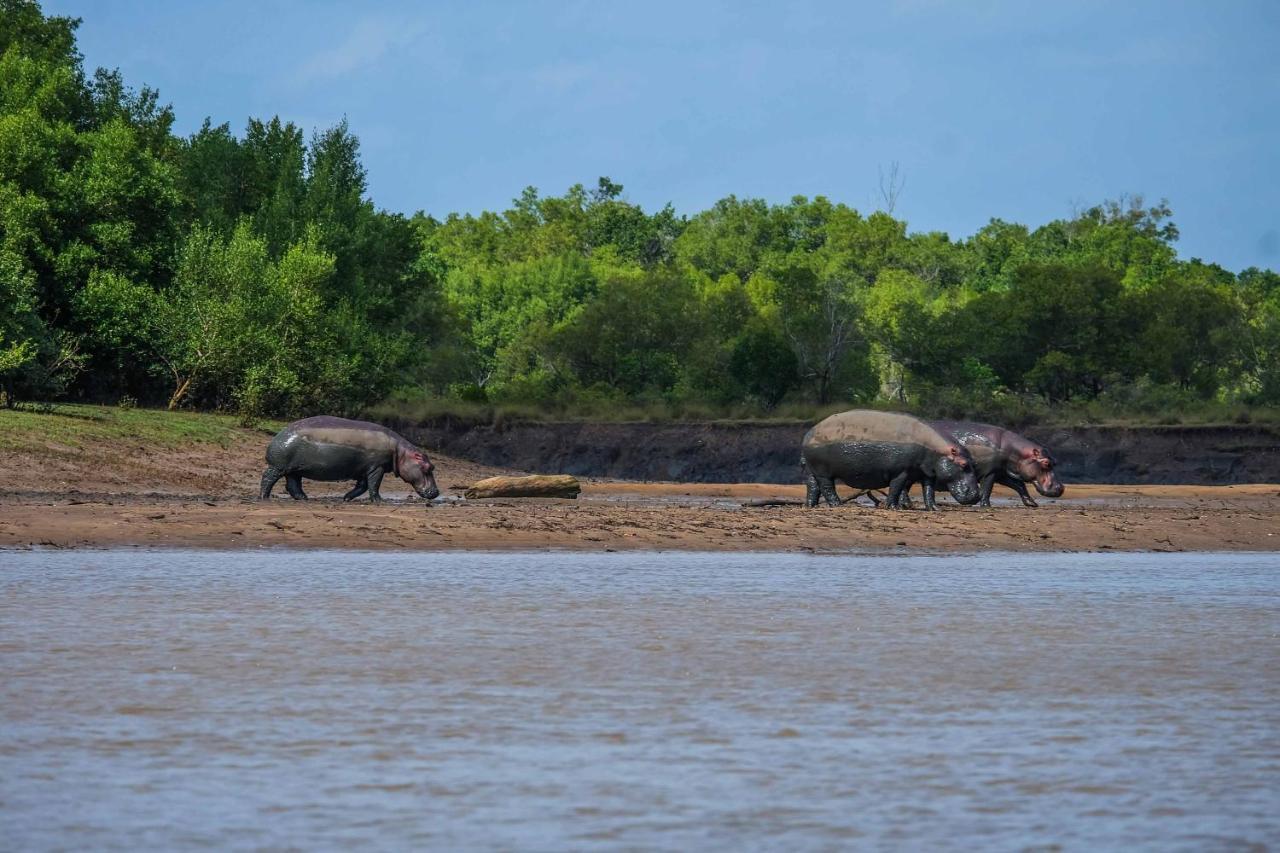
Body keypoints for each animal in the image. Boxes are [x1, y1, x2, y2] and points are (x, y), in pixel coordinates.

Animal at [258, 414, 440, 502]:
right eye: (427, 467)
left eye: (433, 467)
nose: (437, 492)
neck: (400, 452)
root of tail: (279, 434)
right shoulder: (377, 467)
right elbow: (374, 485)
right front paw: (378, 500)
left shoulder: (364, 469)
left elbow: (362, 486)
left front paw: (346, 498)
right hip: (278, 466)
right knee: (268, 478)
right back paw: (264, 497)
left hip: (294, 469)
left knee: (293, 484)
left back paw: (304, 498)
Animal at [798, 409, 977, 507]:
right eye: (963, 464)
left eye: (974, 463)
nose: (976, 494)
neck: (934, 448)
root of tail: (808, 434)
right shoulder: (902, 471)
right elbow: (897, 487)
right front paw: (893, 507)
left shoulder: (927, 472)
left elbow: (928, 491)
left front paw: (933, 508)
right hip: (823, 471)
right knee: (827, 487)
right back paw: (837, 504)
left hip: (812, 470)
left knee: (813, 486)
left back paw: (811, 505)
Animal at [926, 417, 1064, 504]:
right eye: (1046, 463)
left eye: (1055, 461)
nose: (1060, 487)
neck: (1014, 451)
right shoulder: (990, 472)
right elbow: (987, 488)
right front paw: (986, 505)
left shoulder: (1001, 472)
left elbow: (1019, 485)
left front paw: (1031, 503)